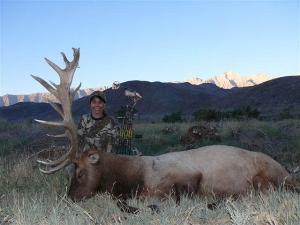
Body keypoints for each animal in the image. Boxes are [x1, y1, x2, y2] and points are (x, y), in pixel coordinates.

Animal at [33, 48, 298, 214]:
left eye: (79, 173)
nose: (69, 198)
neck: (134, 179)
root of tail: (289, 171)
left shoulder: (188, 176)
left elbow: (178, 198)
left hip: (275, 175)